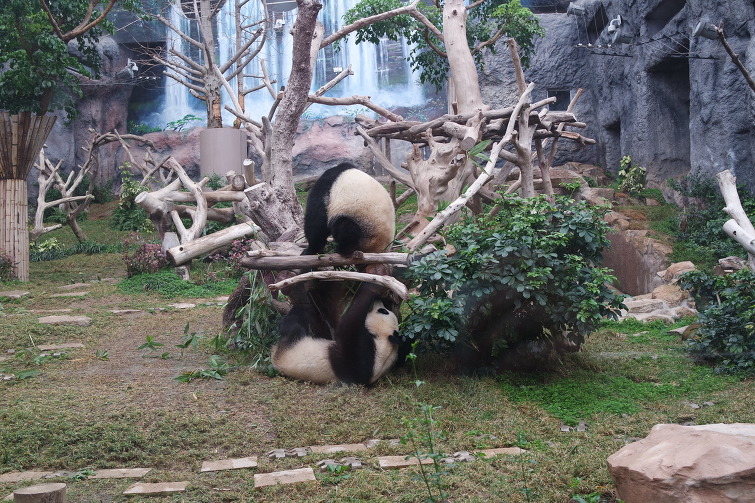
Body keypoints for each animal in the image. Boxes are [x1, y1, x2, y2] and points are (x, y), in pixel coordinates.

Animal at [271, 283, 400, 385]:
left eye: (383, 311)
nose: (379, 301)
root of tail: (275, 358)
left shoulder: (362, 355)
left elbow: (348, 324)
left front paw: (372, 287)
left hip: (292, 343)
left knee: (292, 325)